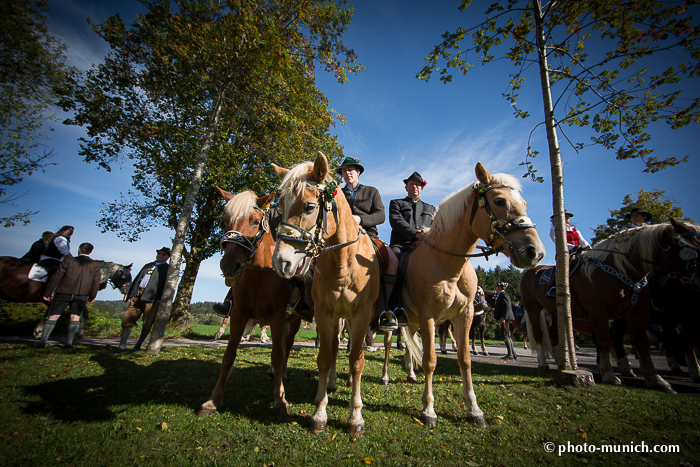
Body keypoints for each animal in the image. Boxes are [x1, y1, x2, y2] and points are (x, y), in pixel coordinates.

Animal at [0, 258, 133, 338]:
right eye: (126, 276)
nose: (128, 293)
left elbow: (84, 312)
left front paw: (80, 331)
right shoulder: (59, 298)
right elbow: (51, 313)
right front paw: (38, 331)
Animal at [198, 188, 304, 418]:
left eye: (255, 221)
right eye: (223, 222)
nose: (229, 266)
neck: (260, 275)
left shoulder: (277, 318)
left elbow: (277, 355)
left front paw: (279, 400)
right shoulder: (238, 314)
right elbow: (229, 355)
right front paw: (212, 400)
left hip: (293, 321)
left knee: (287, 345)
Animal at [270, 152, 380, 436]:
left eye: (309, 207)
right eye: (281, 205)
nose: (281, 263)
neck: (344, 262)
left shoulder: (362, 315)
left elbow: (357, 361)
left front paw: (355, 418)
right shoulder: (324, 313)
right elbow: (325, 357)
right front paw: (319, 413)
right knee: (334, 349)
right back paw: (331, 384)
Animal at [400, 163, 548, 430]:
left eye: (524, 203)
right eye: (499, 200)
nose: (535, 252)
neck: (448, 264)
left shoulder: (464, 315)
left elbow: (465, 359)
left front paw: (474, 409)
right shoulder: (428, 316)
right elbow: (430, 360)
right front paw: (428, 410)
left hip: (414, 321)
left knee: (409, 345)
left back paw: (410, 373)